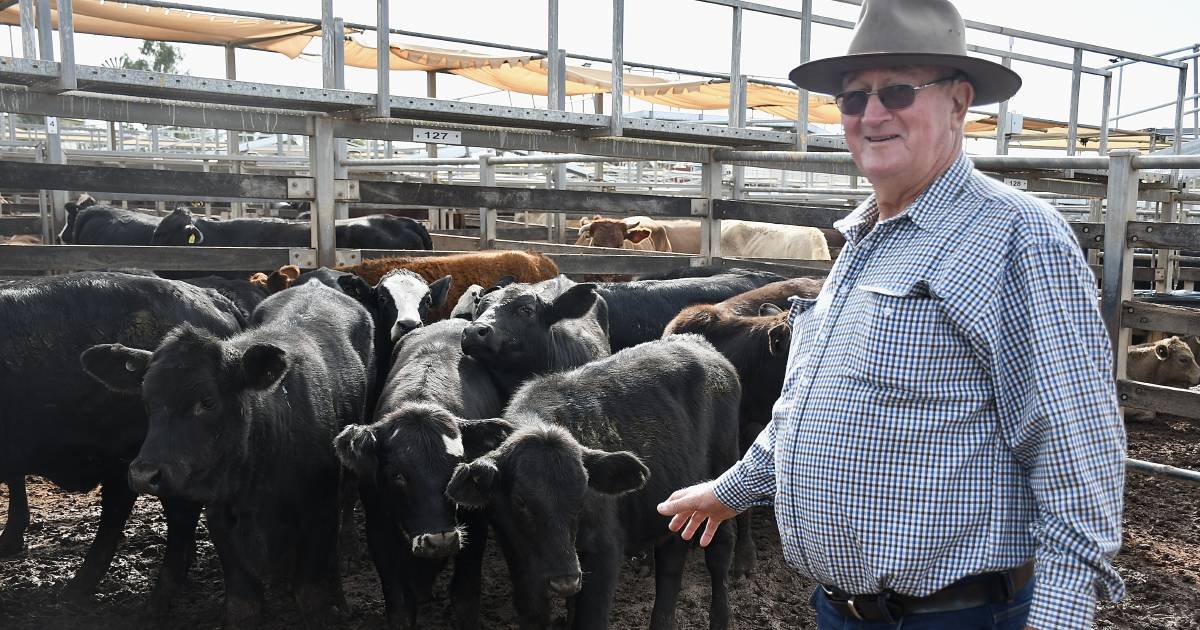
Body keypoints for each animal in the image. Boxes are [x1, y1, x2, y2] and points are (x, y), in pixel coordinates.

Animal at [83, 282, 374, 624]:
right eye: (146, 400)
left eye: (207, 402)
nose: (144, 474)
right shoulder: (221, 517)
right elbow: (242, 604)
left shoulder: (320, 510)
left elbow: (311, 596)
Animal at [336, 319, 508, 628]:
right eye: (397, 475)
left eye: (458, 466)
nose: (440, 540)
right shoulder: (378, 528)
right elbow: (400, 605)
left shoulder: (476, 525)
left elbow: (465, 597)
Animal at [446, 331, 734, 624]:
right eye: (520, 501)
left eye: (583, 495)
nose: (565, 581)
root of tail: (696, 341)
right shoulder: (518, 556)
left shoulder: (603, 552)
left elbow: (590, 616)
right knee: (671, 562)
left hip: (720, 481)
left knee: (719, 552)